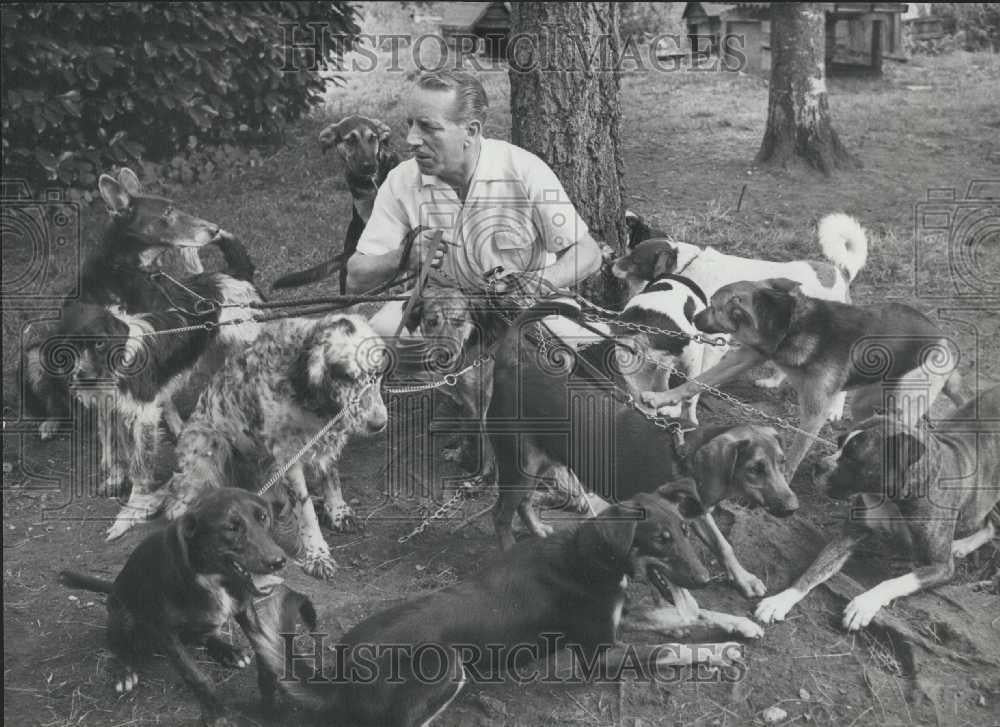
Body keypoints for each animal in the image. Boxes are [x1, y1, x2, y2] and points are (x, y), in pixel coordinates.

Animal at [60, 490, 290, 727]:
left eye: (263, 518)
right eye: (230, 527)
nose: (279, 561)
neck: (211, 578)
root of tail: (113, 586)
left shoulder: (246, 610)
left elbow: (266, 657)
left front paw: (271, 702)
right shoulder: (166, 633)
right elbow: (197, 678)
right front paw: (216, 714)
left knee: (205, 636)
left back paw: (229, 651)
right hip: (123, 615)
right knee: (117, 644)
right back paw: (124, 671)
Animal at [242, 484, 744, 727]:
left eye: (686, 530)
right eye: (661, 540)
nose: (706, 579)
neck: (591, 554)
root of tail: (339, 677)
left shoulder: (612, 625)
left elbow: (673, 620)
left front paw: (738, 625)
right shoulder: (595, 654)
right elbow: (666, 650)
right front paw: (718, 652)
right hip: (447, 667)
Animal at [644, 278, 964, 484]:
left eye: (713, 307)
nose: (694, 318)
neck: (789, 323)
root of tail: (944, 341)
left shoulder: (814, 412)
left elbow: (797, 449)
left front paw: (784, 478)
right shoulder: (747, 356)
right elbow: (696, 382)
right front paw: (661, 398)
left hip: (903, 402)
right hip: (866, 402)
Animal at [756, 386, 1000, 632]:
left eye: (853, 458)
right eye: (838, 443)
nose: (819, 466)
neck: (891, 498)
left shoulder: (940, 566)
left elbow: (894, 581)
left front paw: (863, 605)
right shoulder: (847, 537)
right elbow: (814, 570)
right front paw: (780, 600)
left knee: (991, 525)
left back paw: (963, 545)